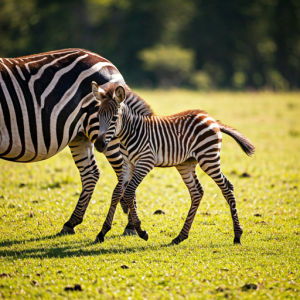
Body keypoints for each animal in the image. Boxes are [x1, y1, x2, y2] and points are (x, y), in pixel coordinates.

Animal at [92, 81, 255, 244]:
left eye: (114, 118)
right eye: (98, 117)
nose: (99, 145)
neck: (131, 134)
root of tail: (211, 119)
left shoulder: (145, 162)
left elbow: (129, 192)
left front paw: (141, 231)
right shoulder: (127, 164)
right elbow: (117, 193)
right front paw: (102, 232)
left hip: (208, 158)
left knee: (227, 188)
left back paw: (237, 235)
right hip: (186, 164)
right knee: (197, 192)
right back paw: (181, 236)